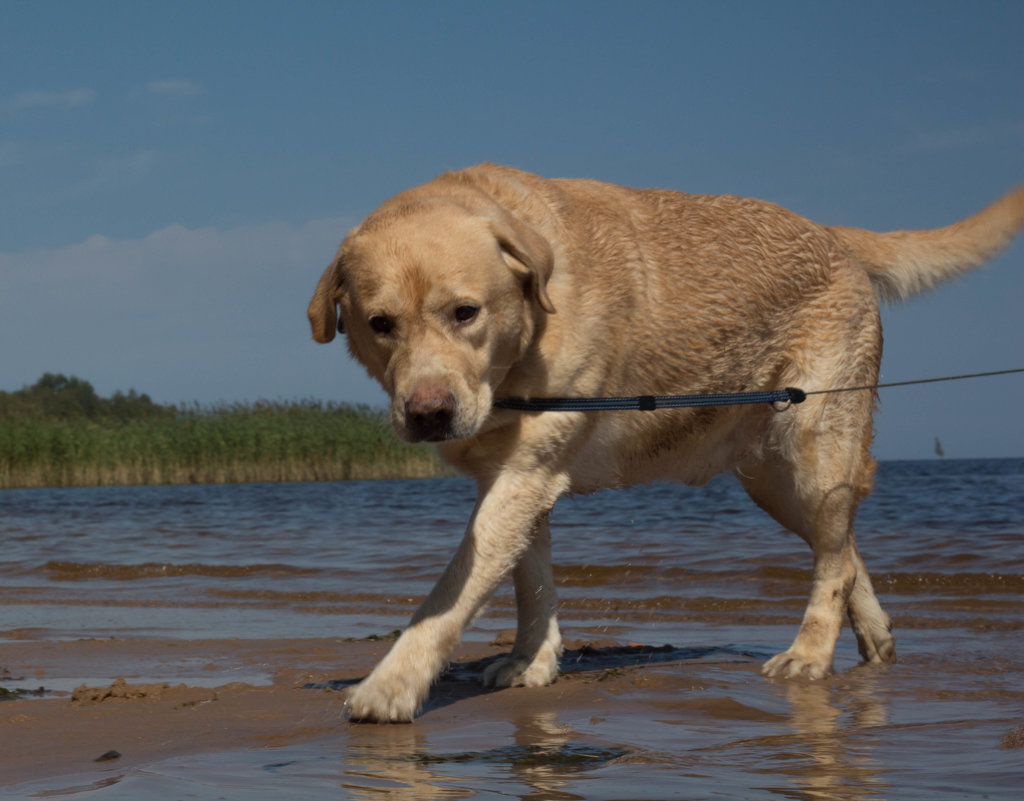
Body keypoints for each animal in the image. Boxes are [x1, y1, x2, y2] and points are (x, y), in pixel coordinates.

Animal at [305, 162, 1024, 721]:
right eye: (380, 323)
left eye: (465, 312)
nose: (428, 412)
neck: (519, 356)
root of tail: (833, 233)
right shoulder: (516, 476)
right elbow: (530, 581)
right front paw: (532, 661)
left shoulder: (523, 474)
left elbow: (450, 594)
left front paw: (390, 686)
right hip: (773, 480)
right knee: (843, 549)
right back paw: (875, 642)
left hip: (813, 446)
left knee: (834, 556)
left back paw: (810, 654)